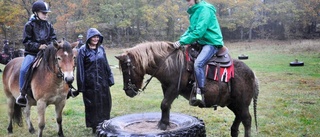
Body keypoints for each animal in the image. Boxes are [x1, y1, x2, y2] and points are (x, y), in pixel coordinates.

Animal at [117, 41, 260, 137]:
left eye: (126, 69)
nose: (128, 91)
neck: (170, 63)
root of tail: (252, 73)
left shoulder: (175, 88)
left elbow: (164, 104)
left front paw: (162, 125)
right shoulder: (166, 87)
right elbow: (166, 106)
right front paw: (165, 123)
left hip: (242, 104)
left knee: (247, 120)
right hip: (234, 103)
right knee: (238, 118)